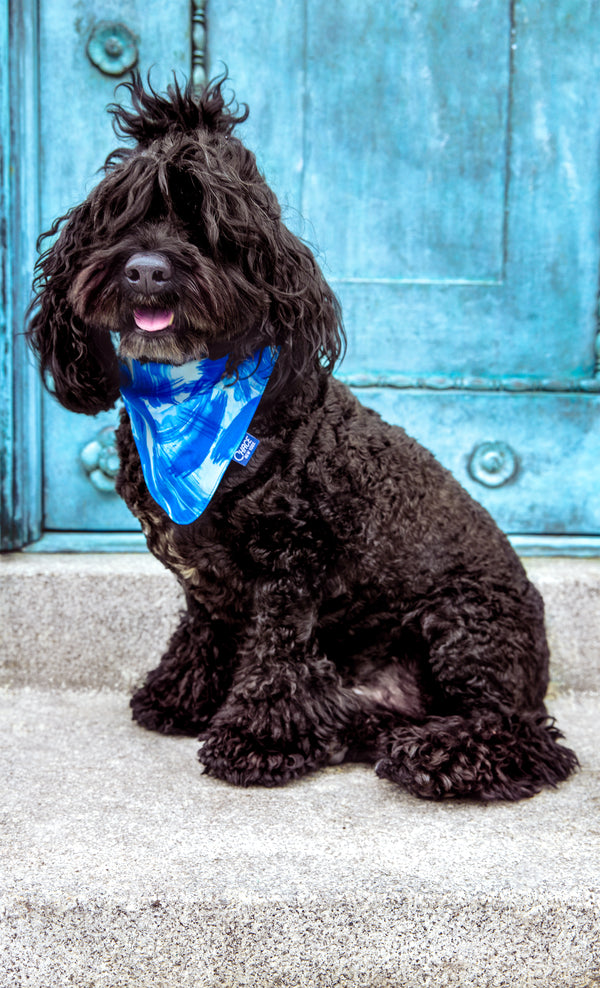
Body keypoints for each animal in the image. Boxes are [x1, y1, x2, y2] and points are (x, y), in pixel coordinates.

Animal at [27, 79, 576, 804]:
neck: (194, 397)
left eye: (210, 228)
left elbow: (277, 654)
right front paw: (181, 696)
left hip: (465, 624)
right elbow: (205, 628)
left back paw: (435, 755)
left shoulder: (293, 568)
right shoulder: (208, 584)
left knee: (526, 737)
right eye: (121, 219)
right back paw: (348, 726)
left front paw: (259, 739)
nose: (145, 271)